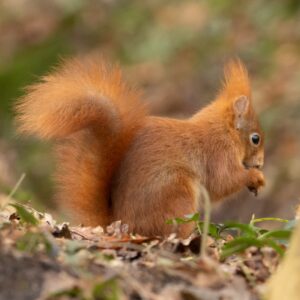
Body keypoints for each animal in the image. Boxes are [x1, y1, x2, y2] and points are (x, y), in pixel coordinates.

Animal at [16, 56, 264, 237]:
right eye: (256, 138)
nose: (260, 164)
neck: (223, 130)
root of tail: (120, 225)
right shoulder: (218, 153)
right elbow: (223, 182)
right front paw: (255, 178)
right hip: (177, 194)